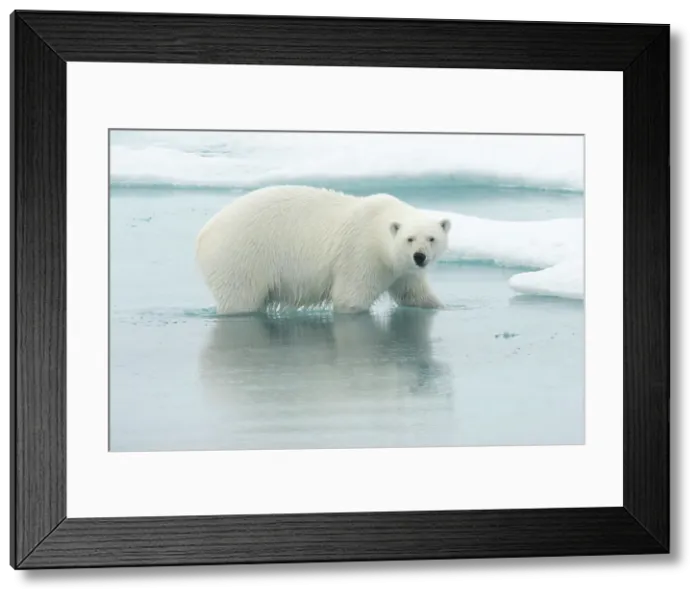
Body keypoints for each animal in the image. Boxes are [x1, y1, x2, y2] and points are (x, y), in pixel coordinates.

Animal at [195, 185, 451, 315]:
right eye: (409, 239)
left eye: (431, 238)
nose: (420, 257)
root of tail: (203, 234)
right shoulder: (362, 255)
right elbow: (350, 297)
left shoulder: (403, 270)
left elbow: (414, 293)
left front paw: (438, 305)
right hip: (241, 258)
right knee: (241, 299)